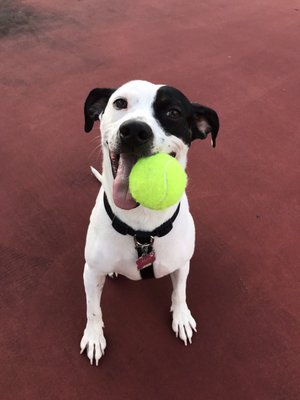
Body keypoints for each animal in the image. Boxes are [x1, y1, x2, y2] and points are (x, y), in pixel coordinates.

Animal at [81, 80, 219, 366]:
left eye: (174, 112)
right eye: (120, 103)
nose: (134, 130)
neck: (142, 230)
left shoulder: (182, 264)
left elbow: (180, 292)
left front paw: (181, 317)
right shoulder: (91, 272)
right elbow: (93, 309)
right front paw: (94, 337)